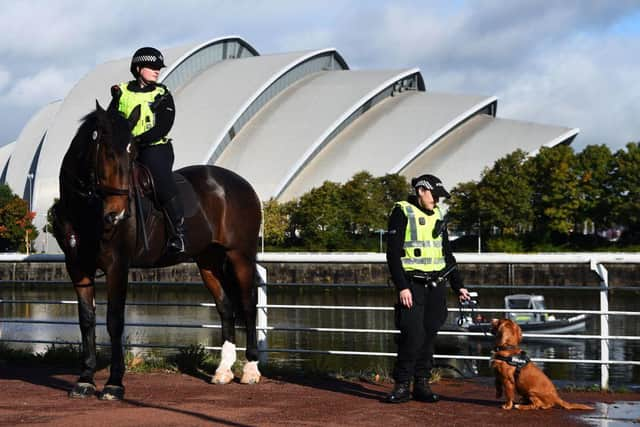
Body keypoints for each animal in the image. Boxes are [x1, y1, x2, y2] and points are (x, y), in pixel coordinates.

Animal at [52, 102, 262, 400]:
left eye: (132, 153)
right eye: (107, 151)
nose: (117, 214)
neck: (86, 210)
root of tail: (240, 183)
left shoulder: (117, 266)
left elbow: (114, 321)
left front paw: (114, 383)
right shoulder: (77, 267)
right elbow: (86, 320)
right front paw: (85, 380)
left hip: (240, 256)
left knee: (248, 305)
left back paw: (251, 370)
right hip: (208, 261)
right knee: (226, 308)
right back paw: (223, 371)